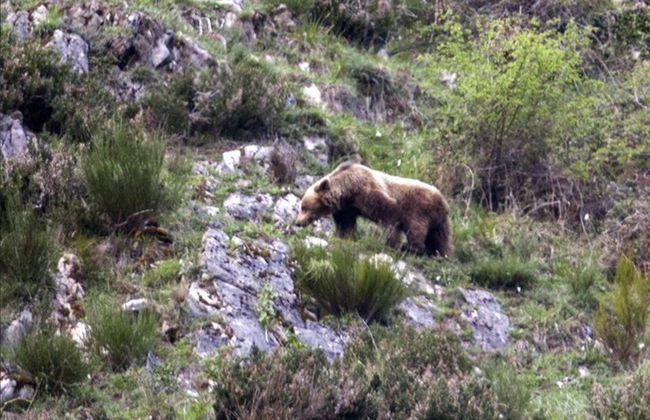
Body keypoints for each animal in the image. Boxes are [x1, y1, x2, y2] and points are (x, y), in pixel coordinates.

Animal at [295, 162, 452, 257]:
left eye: (303, 207)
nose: (297, 222)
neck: (348, 190)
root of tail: (443, 200)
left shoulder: (369, 191)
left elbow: (389, 215)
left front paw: (392, 243)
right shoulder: (348, 207)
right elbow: (346, 223)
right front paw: (345, 235)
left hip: (420, 209)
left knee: (416, 228)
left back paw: (411, 248)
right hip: (439, 220)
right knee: (440, 237)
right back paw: (440, 254)